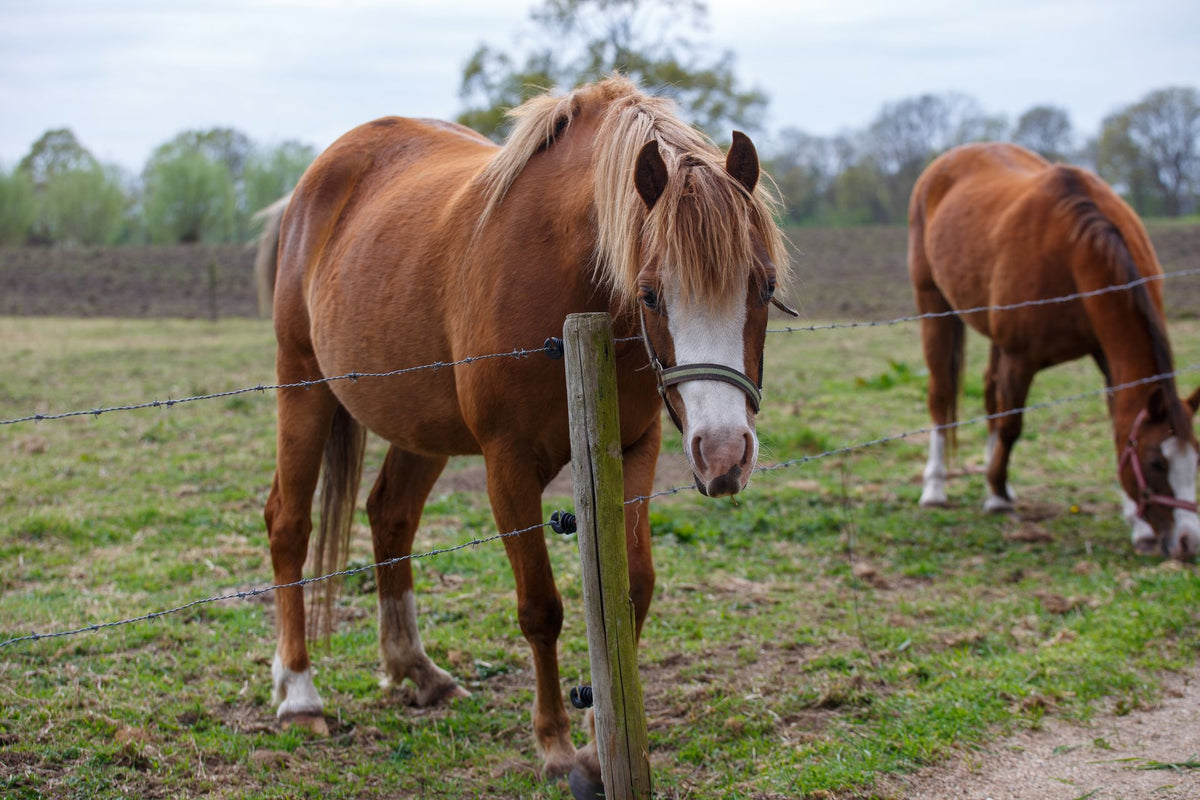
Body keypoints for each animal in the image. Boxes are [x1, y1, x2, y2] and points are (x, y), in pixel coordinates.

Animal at [257, 75, 791, 788]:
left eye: (763, 285)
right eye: (650, 293)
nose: (724, 453)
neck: (575, 290)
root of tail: (312, 184)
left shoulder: (635, 450)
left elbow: (632, 587)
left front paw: (600, 743)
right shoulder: (507, 466)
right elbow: (541, 607)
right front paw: (558, 747)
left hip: (421, 425)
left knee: (390, 517)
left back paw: (416, 671)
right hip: (303, 387)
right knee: (290, 523)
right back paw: (298, 693)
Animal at [908, 141, 1200, 560]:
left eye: (1196, 459)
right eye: (1156, 462)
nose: (1189, 542)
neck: (1074, 252)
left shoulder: (1107, 358)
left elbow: (1117, 424)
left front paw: (1139, 525)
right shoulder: (1020, 357)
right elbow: (1012, 425)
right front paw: (997, 494)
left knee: (990, 393)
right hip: (934, 305)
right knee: (942, 396)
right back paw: (935, 487)